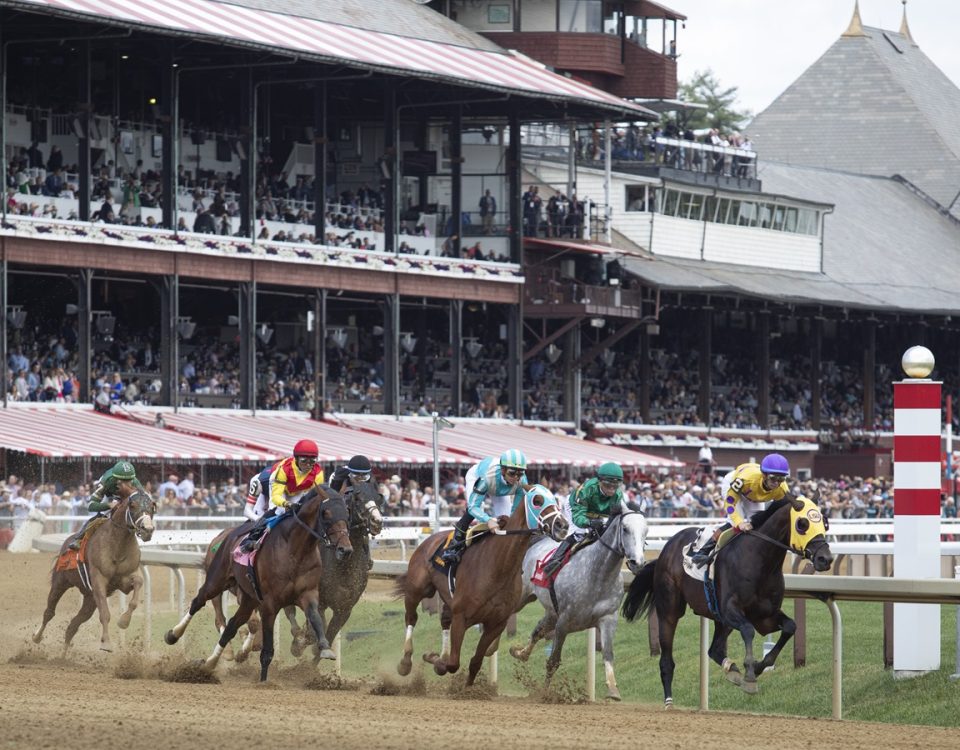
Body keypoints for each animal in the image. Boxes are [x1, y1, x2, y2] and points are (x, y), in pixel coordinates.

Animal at [31, 490, 157, 656]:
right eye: (132, 505)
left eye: (152, 506)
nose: (147, 529)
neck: (118, 546)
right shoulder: (98, 580)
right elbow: (105, 613)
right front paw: (106, 643)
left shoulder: (123, 580)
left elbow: (138, 583)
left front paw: (123, 621)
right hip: (60, 582)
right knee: (49, 612)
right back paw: (37, 637)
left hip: (89, 599)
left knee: (73, 625)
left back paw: (62, 656)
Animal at [166, 490, 352, 684]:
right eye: (326, 513)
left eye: (347, 514)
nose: (345, 549)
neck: (295, 551)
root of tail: (227, 535)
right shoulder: (269, 603)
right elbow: (267, 647)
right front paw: (263, 681)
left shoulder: (308, 594)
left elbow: (315, 618)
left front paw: (325, 648)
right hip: (217, 581)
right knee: (199, 601)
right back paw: (173, 635)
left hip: (249, 598)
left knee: (232, 625)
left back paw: (210, 664)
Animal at [392, 484, 568, 692]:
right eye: (537, 500)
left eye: (555, 500)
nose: (563, 526)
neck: (498, 568)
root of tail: (429, 539)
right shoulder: (461, 616)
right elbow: (453, 663)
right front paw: (435, 660)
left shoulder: (496, 623)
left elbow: (475, 661)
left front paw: (466, 688)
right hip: (418, 589)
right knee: (411, 618)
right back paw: (405, 662)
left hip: (447, 599)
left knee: (444, 620)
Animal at [506, 502, 648, 704]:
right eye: (626, 529)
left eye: (646, 530)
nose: (638, 563)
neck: (598, 575)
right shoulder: (564, 621)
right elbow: (553, 661)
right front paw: (544, 694)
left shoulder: (608, 619)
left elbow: (608, 654)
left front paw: (613, 690)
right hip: (522, 598)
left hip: (551, 611)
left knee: (538, 630)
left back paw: (520, 653)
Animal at [624, 494, 832, 704]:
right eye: (802, 524)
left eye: (824, 522)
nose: (826, 559)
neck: (759, 559)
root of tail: (668, 546)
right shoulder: (730, 610)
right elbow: (748, 630)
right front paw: (750, 675)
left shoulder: (765, 616)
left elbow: (790, 626)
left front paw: (757, 667)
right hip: (670, 610)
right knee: (667, 660)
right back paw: (669, 701)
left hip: (719, 619)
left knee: (714, 650)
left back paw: (731, 669)